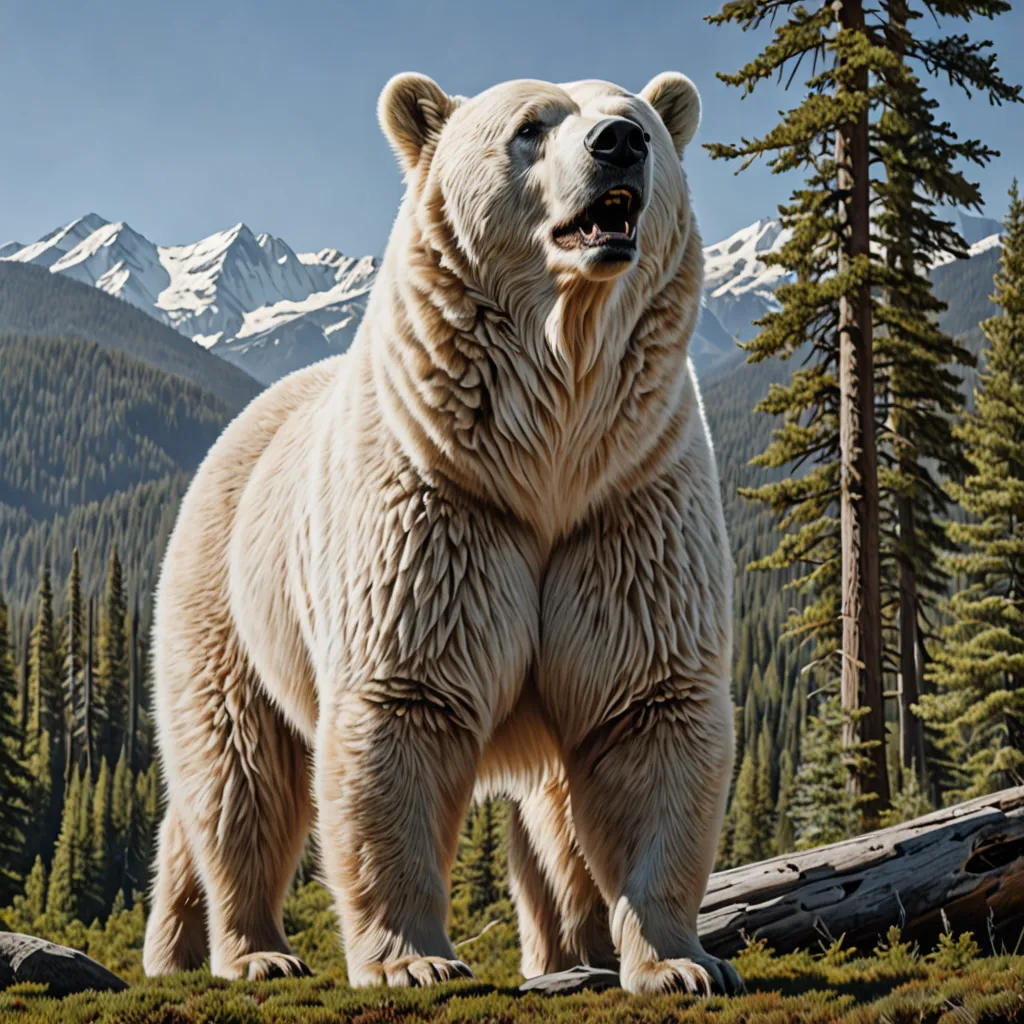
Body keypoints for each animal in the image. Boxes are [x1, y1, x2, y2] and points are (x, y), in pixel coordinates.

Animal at [142, 70, 740, 997]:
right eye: (531, 126)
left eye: (633, 116)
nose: (619, 145)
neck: (546, 451)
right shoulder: (438, 514)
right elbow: (403, 712)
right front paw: (412, 959)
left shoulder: (628, 508)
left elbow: (646, 707)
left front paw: (680, 961)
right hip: (228, 599)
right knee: (237, 772)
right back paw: (246, 949)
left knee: (548, 820)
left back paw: (569, 951)